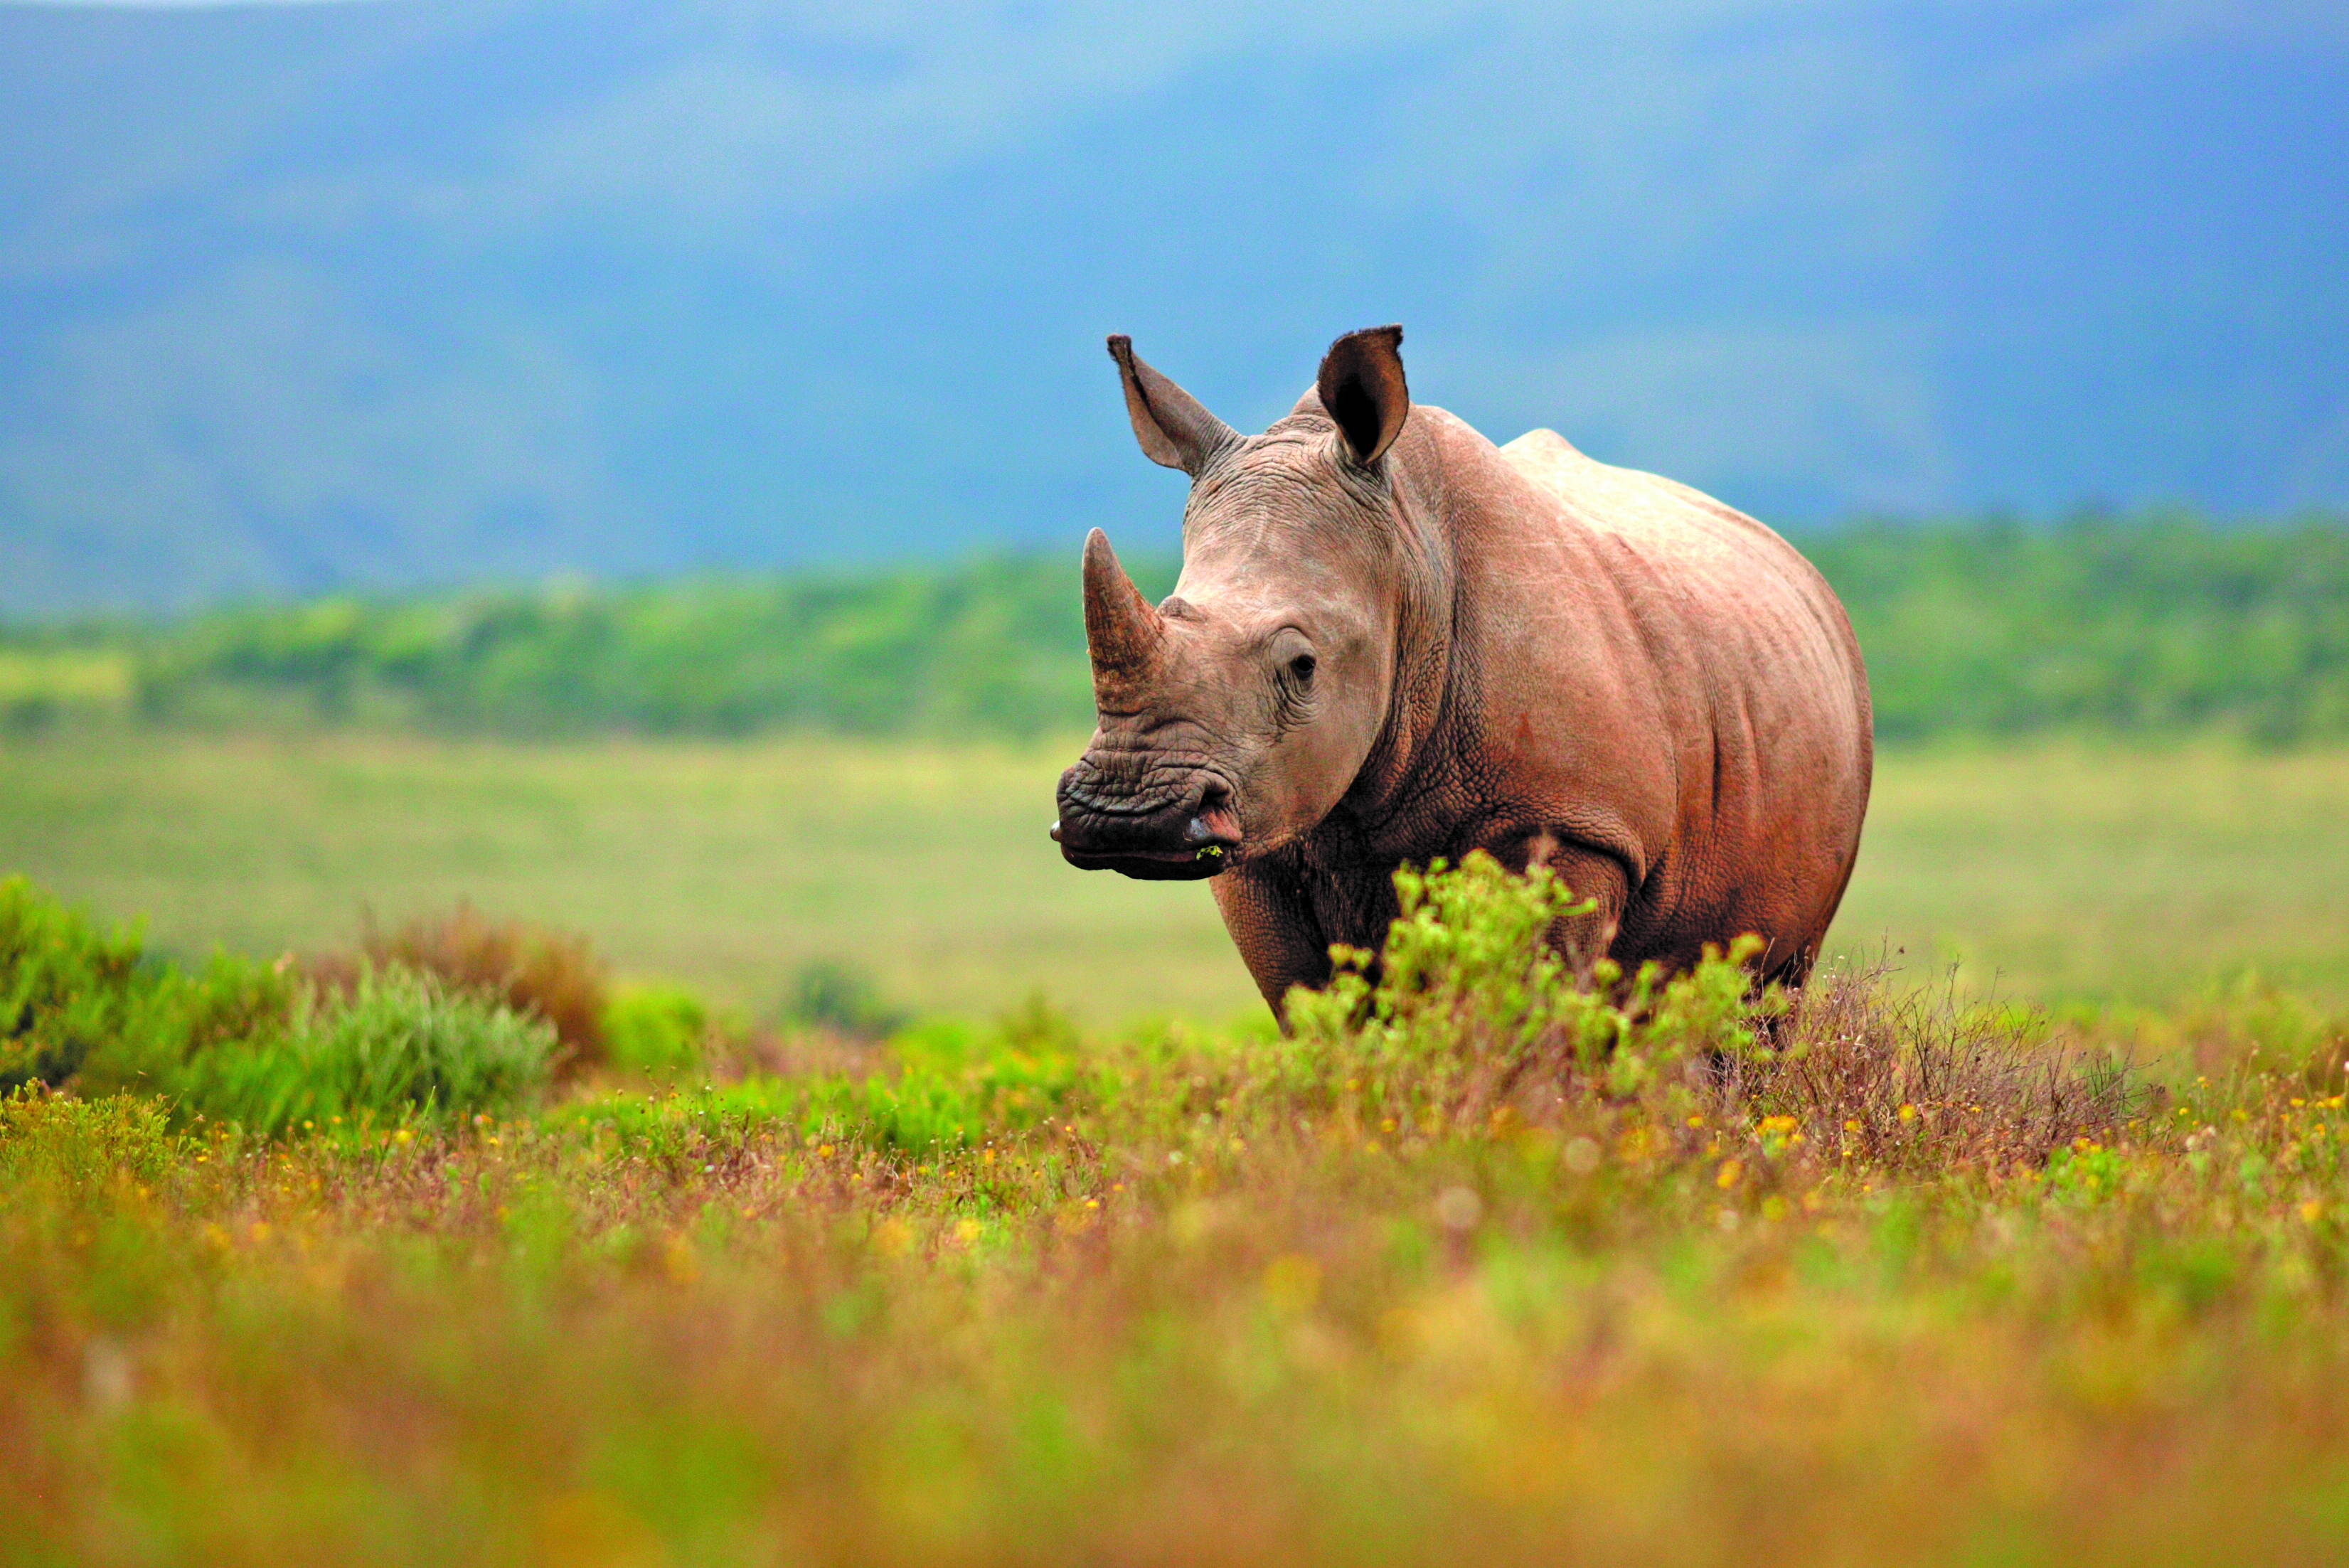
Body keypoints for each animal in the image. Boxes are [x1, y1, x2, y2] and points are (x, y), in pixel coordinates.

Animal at [1052, 325, 1872, 1017]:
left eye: (1303, 665)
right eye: (1169, 610)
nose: (1125, 815)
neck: (1410, 557)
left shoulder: (1572, 825)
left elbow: (1528, 1015)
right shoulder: (1262, 840)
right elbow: (1324, 1018)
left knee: (1762, 998)